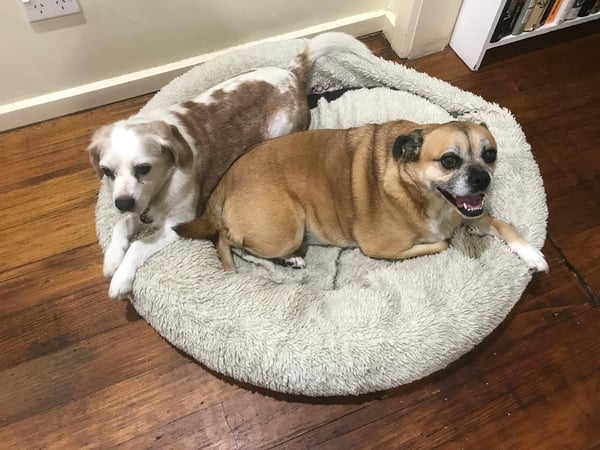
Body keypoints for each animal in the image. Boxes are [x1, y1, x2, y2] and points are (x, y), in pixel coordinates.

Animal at [89, 31, 372, 298]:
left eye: (143, 168)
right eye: (107, 171)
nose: (122, 204)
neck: (161, 187)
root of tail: (291, 73)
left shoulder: (178, 222)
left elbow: (139, 245)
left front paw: (121, 279)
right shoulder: (140, 209)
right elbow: (122, 225)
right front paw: (112, 259)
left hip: (277, 132)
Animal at [173, 119, 548, 272]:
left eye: (490, 154)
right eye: (449, 161)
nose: (483, 179)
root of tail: (224, 183)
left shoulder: (469, 212)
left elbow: (503, 224)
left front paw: (531, 254)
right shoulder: (380, 248)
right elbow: (442, 242)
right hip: (286, 230)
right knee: (232, 243)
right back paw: (289, 260)